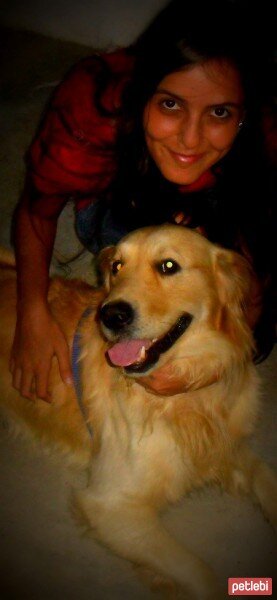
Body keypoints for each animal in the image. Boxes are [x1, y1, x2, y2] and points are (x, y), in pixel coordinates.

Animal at [0, 226, 274, 600]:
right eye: (117, 266)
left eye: (168, 266)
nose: (111, 315)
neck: (187, 395)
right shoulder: (111, 506)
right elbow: (202, 575)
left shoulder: (227, 444)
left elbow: (265, 476)